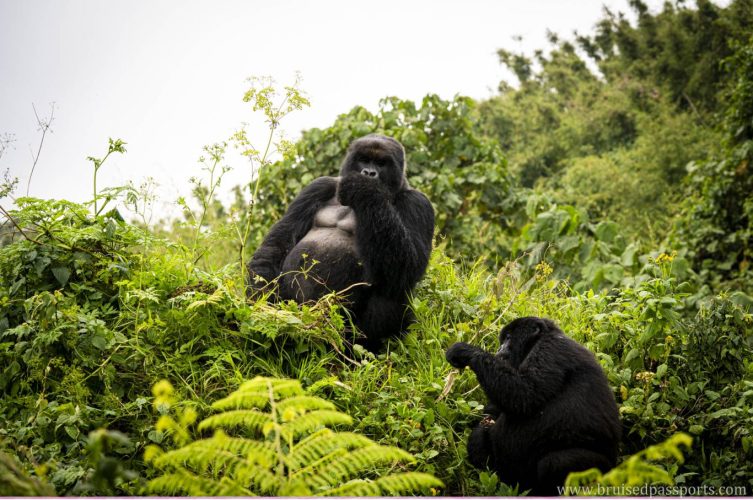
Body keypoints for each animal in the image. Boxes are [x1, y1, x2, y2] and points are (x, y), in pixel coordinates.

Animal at [247, 133, 434, 352]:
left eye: (381, 163)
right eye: (364, 159)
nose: (369, 173)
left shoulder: (418, 203)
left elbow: (408, 266)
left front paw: (364, 188)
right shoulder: (318, 186)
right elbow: (277, 245)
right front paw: (260, 299)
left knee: (392, 286)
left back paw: (368, 348)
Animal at [444, 316, 620, 496]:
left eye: (508, 337)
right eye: (503, 339)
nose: (500, 347)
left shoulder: (549, 350)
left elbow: (524, 393)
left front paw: (466, 351)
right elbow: (496, 410)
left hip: (601, 471)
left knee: (557, 462)